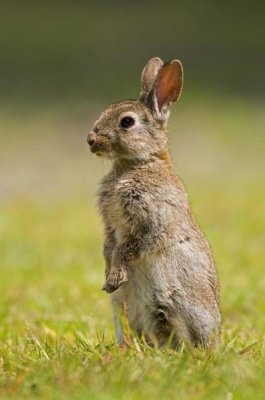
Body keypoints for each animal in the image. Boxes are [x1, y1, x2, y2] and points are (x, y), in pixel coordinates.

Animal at [87, 57, 221, 348]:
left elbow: (128, 247)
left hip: (175, 301)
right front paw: (108, 276)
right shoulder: (110, 226)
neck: (138, 163)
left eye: (127, 122)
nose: (91, 140)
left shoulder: (152, 219)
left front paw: (115, 276)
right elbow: (110, 246)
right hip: (124, 308)